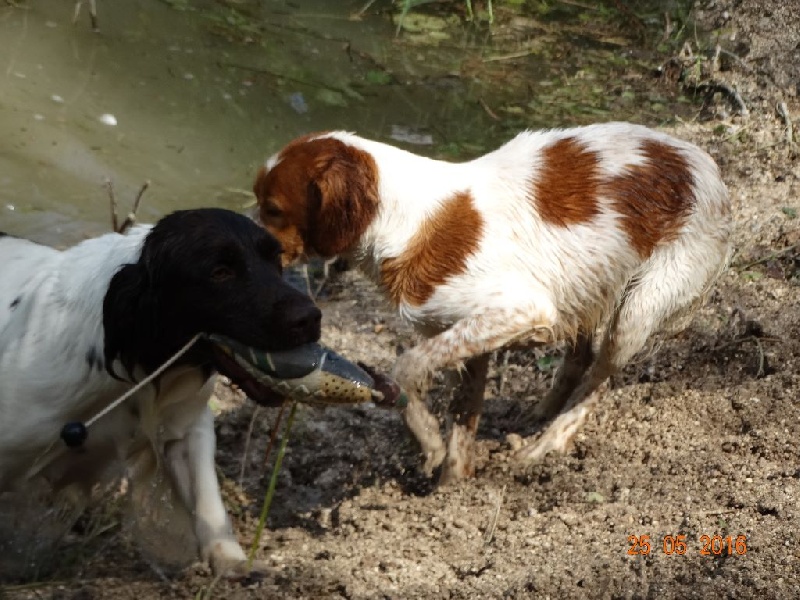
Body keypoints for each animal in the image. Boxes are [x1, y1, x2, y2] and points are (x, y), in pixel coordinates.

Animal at [0, 207, 318, 576]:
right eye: (220, 272)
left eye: (275, 260)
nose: (311, 318)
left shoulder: (186, 423)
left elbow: (206, 496)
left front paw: (229, 557)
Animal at [252, 124, 732, 486]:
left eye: (272, 208)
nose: (246, 245)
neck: (409, 222)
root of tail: (708, 166)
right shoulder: (470, 337)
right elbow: (463, 416)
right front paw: (451, 482)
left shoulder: (521, 310)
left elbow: (405, 367)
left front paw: (428, 441)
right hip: (584, 288)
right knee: (580, 358)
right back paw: (539, 413)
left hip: (635, 312)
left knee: (598, 378)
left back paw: (547, 442)